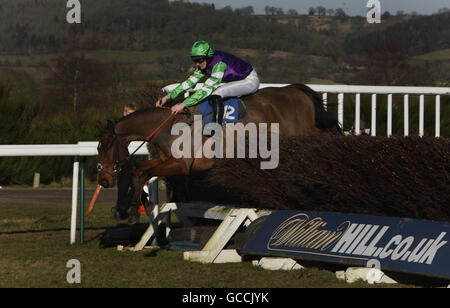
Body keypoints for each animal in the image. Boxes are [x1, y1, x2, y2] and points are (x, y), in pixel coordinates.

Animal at [96, 84, 340, 224]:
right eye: (98, 148)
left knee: (324, 137)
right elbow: (139, 170)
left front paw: (133, 209)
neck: (169, 125)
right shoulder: (165, 160)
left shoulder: (181, 165)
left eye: (105, 146)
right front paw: (132, 209)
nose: (103, 180)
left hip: (302, 131)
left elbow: (142, 172)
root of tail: (295, 89)